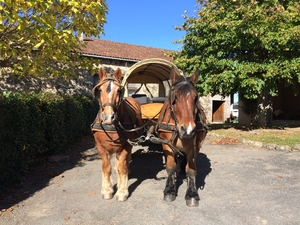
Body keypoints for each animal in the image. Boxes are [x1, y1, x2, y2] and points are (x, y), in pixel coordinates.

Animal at [91, 67, 143, 202]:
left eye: (119, 90)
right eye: (99, 90)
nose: (109, 117)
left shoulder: (125, 146)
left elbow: (122, 168)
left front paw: (122, 191)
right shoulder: (101, 148)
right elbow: (106, 168)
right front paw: (107, 190)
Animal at [156, 66, 207, 207]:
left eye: (196, 97)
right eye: (175, 97)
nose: (188, 129)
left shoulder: (195, 147)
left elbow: (191, 170)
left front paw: (192, 193)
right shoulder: (166, 144)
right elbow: (170, 167)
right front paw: (169, 190)